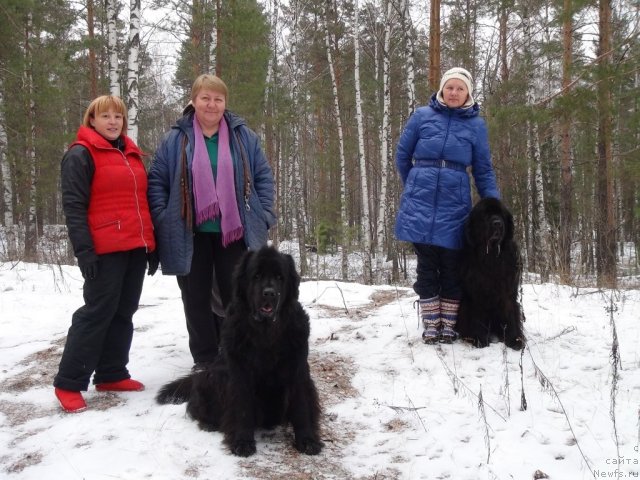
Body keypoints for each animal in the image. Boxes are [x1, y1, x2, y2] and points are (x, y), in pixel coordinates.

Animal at [158, 248, 322, 458]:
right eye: (257, 276)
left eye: (280, 277)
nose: (269, 293)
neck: (266, 332)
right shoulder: (239, 372)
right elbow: (242, 407)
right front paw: (242, 442)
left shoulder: (297, 369)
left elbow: (302, 406)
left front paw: (307, 440)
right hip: (211, 378)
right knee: (195, 407)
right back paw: (209, 423)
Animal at [456, 197, 524, 350]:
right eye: (485, 215)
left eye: (501, 215)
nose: (497, 223)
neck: (491, 257)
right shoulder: (476, 293)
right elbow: (477, 315)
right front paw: (479, 339)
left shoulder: (508, 292)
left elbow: (510, 315)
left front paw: (515, 339)